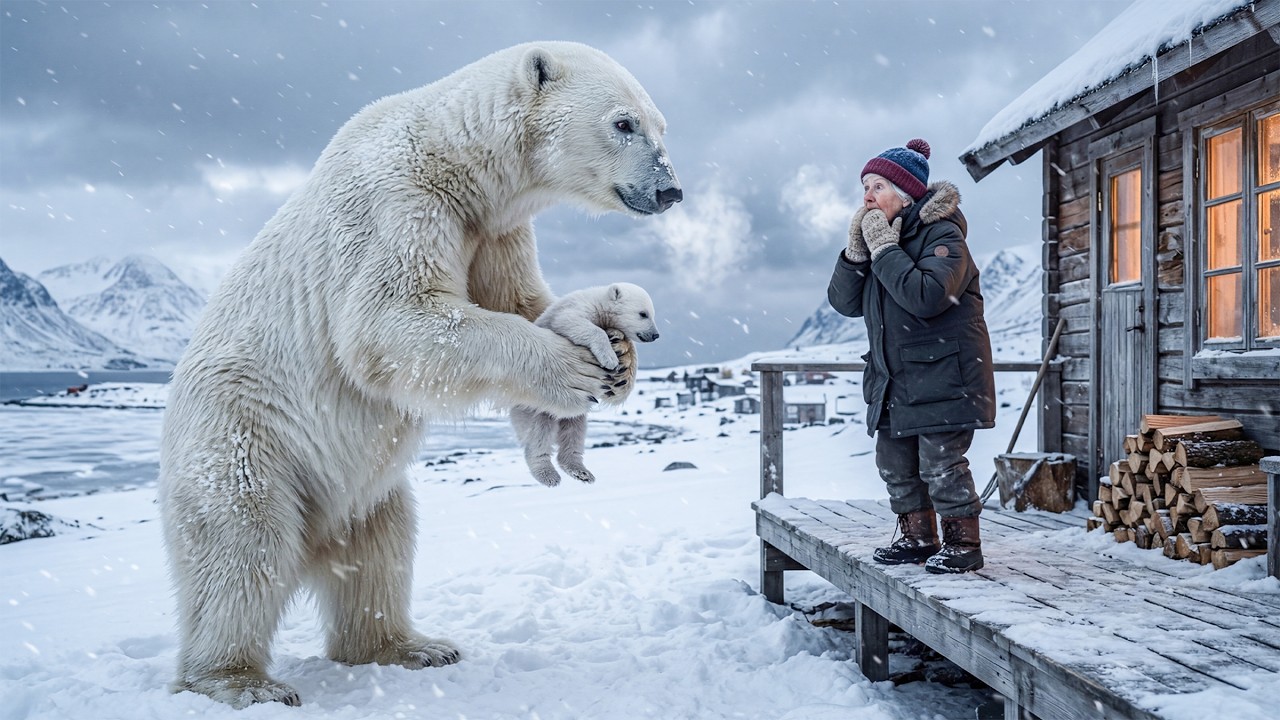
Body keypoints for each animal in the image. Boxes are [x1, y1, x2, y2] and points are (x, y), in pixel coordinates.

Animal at [510, 282, 659, 487]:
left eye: (652, 313)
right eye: (643, 313)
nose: (655, 335)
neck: (599, 303)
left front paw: (620, 355)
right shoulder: (575, 310)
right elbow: (572, 322)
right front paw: (610, 359)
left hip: (575, 407)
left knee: (575, 429)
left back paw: (580, 471)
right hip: (535, 402)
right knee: (539, 431)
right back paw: (548, 474)